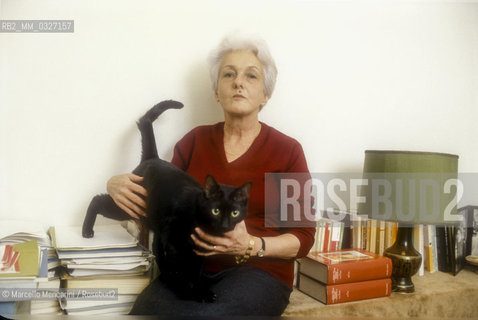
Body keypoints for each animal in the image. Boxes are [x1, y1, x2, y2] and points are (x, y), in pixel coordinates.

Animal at [82, 100, 252, 302]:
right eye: (215, 211)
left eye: (235, 212)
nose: (225, 224)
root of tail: (152, 158)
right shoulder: (172, 243)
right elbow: (179, 269)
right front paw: (186, 291)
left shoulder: (197, 252)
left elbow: (195, 270)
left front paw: (199, 289)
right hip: (129, 205)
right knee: (97, 200)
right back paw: (87, 231)